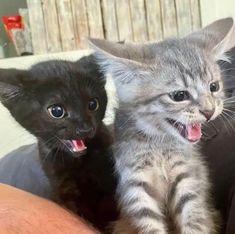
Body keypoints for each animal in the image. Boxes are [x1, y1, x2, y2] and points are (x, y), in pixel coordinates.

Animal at [0, 55, 117, 231]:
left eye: (93, 104)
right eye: (56, 111)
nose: (86, 128)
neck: (78, 163)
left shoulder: (109, 176)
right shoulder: (63, 188)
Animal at [89, 18, 235, 234]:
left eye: (214, 87)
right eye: (179, 95)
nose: (209, 111)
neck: (158, 143)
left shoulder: (187, 177)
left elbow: (194, 218)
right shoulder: (135, 186)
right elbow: (149, 224)